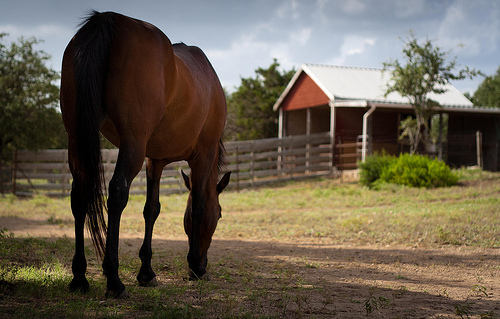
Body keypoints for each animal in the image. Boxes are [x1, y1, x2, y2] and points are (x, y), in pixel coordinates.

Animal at [60, 10, 230, 300]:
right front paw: (194, 266)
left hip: (77, 140)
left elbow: (152, 209)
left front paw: (147, 272)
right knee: (117, 193)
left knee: (79, 196)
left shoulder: (155, 161)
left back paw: (80, 277)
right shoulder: (203, 156)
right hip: (132, 145)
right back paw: (114, 279)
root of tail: (108, 19)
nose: (204, 260)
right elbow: (197, 207)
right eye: (218, 215)